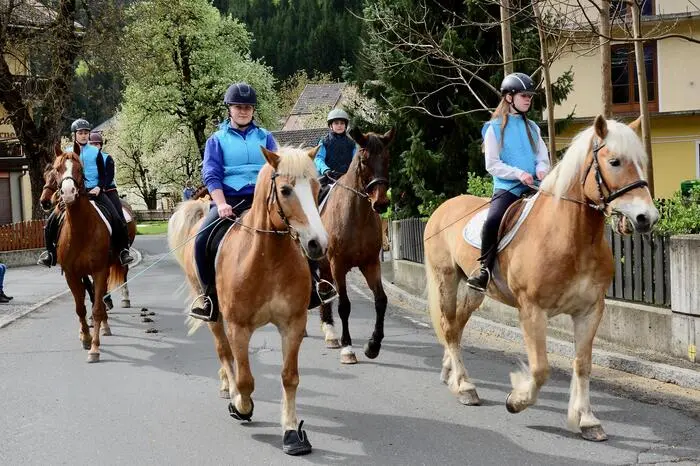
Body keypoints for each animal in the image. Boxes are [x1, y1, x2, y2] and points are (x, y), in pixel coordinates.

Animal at [39, 143, 129, 363]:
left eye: (79, 168)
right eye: (57, 169)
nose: (67, 193)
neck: (81, 230)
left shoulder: (99, 270)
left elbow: (96, 307)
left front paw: (95, 347)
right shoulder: (72, 274)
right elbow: (80, 307)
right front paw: (86, 338)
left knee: (101, 297)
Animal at [168, 146, 327, 455]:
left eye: (317, 188)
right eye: (286, 190)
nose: (318, 244)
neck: (268, 258)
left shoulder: (293, 324)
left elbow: (289, 377)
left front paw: (291, 432)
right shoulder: (238, 326)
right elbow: (245, 379)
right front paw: (241, 406)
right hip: (215, 317)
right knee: (224, 352)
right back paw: (228, 389)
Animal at [317, 127, 395, 364]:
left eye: (387, 159)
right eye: (364, 160)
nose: (381, 203)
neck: (357, 216)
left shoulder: (370, 264)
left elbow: (381, 300)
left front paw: (373, 345)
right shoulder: (338, 265)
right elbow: (344, 305)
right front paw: (348, 348)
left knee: (324, 291)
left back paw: (330, 332)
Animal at [423, 116, 659, 441]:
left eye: (641, 162)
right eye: (614, 161)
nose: (647, 218)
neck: (569, 238)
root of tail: (442, 209)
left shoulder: (590, 311)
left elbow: (583, 364)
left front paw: (588, 420)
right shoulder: (532, 310)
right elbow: (540, 368)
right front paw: (516, 400)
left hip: (473, 291)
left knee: (455, 329)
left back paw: (452, 377)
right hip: (445, 280)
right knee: (448, 327)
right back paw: (465, 387)